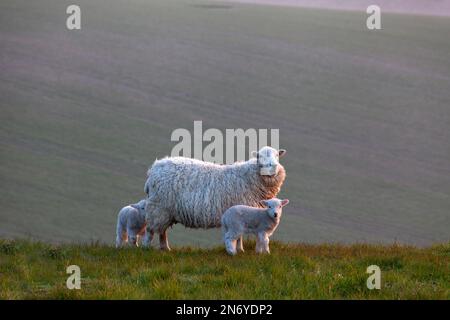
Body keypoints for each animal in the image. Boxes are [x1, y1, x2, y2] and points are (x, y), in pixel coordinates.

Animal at [142, 146, 286, 251]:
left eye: (277, 155)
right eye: (259, 156)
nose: (272, 166)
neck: (248, 177)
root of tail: (155, 168)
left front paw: (239, 249)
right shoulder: (239, 211)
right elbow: (239, 236)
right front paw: (240, 250)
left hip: (165, 211)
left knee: (162, 231)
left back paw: (165, 249)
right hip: (158, 207)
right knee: (150, 230)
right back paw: (146, 248)